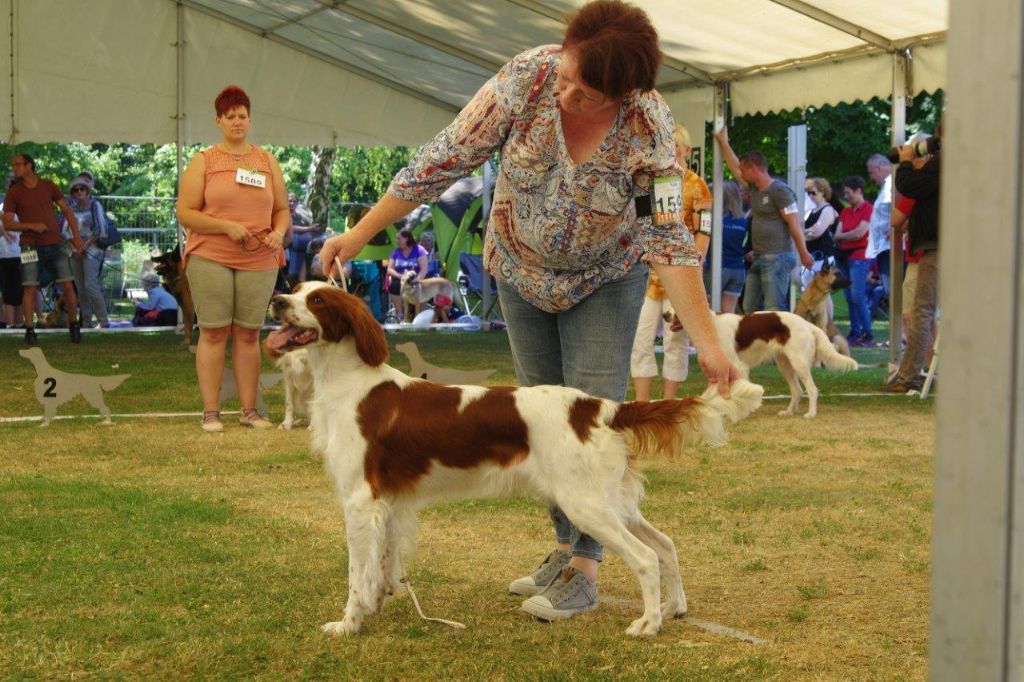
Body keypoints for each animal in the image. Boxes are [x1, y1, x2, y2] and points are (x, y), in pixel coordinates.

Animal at [268, 278, 765, 634]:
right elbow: (384, 563)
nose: (276, 299)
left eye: (317, 300)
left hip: (585, 504)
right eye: (295, 288)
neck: (350, 382)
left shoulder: (359, 500)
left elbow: (356, 573)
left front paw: (347, 623)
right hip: (611, 501)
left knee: (644, 557)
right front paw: (378, 604)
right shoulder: (387, 501)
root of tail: (601, 407)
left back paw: (648, 624)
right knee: (665, 545)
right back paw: (674, 607)